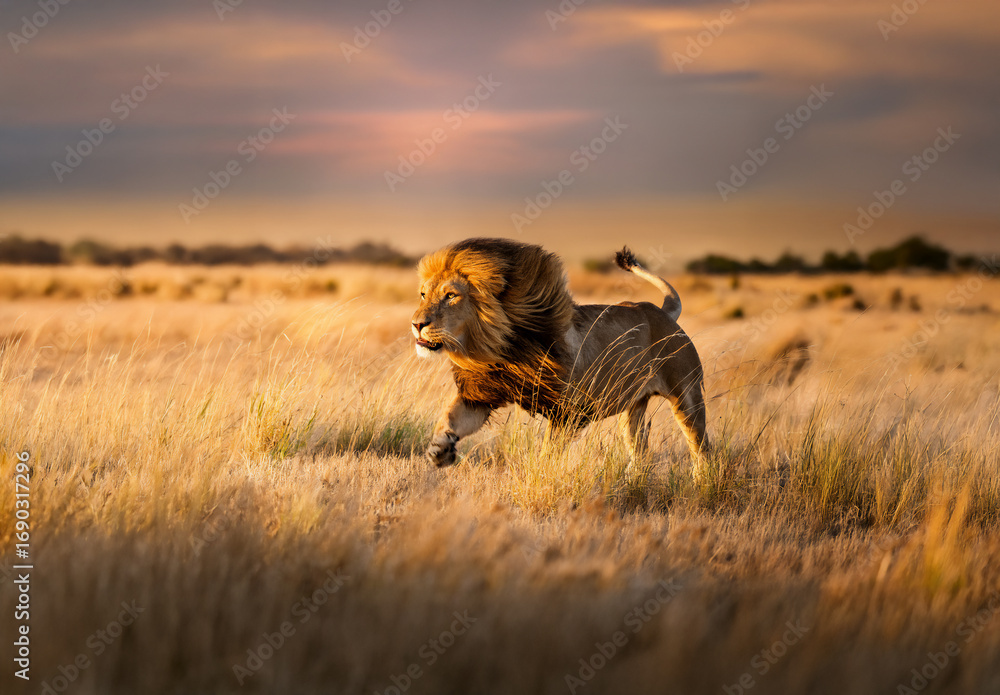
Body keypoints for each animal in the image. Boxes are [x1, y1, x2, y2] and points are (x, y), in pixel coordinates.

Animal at [411, 237, 707, 475]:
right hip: (633, 408)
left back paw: (702, 484)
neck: (497, 346)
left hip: (687, 397)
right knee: (641, 453)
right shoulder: (482, 393)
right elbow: (449, 418)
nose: (416, 324)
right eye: (423, 294)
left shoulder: (568, 412)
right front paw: (439, 450)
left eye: (451, 296)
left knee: (702, 448)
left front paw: (539, 474)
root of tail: (662, 312)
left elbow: (548, 451)